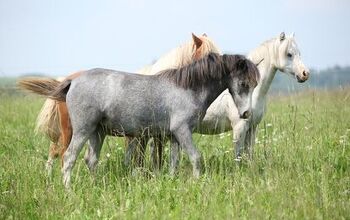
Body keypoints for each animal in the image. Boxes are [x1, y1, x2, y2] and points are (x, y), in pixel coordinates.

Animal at [196, 32, 310, 160]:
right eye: (289, 54)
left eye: (299, 53)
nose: (305, 74)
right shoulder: (239, 128)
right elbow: (238, 156)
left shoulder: (252, 127)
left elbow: (249, 154)